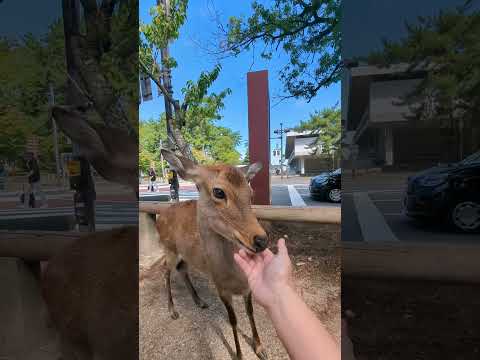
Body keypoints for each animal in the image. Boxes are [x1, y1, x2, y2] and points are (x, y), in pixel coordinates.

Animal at [157, 148, 272, 358]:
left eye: (250, 193)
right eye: (219, 191)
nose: (261, 240)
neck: (234, 277)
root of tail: (160, 215)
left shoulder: (248, 287)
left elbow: (250, 312)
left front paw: (260, 348)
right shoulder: (221, 288)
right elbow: (233, 320)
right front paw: (239, 354)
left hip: (184, 254)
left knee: (182, 269)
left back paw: (200, 301)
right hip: (169, 248)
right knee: (165, 270)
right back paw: (173, 310)